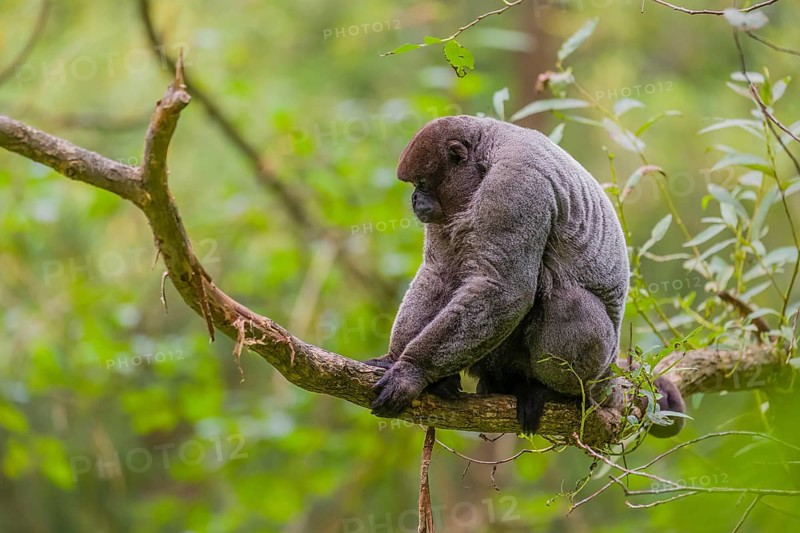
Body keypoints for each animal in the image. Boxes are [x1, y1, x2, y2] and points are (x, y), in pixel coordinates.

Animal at [364, 115, 686, 437]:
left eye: (421, 183)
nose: (414, 199)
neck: (486, 156)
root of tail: (609, 376)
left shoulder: (516, 184)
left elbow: (505, 288)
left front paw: (412, 372)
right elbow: (437, 273)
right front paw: (394, 359)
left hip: (595, 367)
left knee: (566, 297)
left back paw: (552, 392)